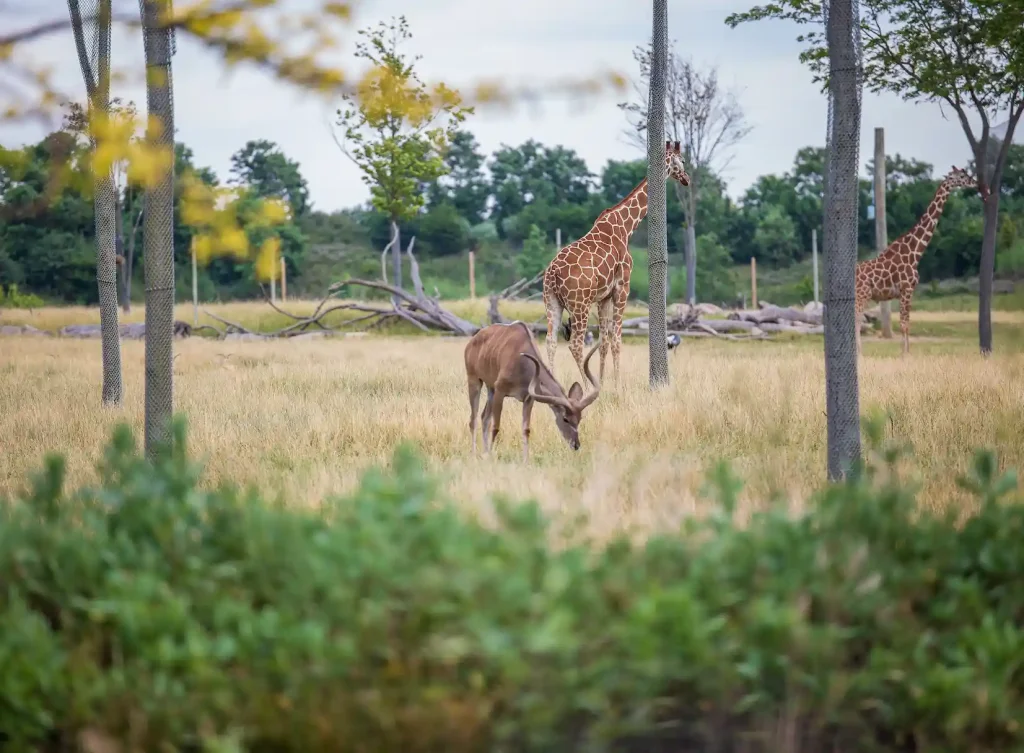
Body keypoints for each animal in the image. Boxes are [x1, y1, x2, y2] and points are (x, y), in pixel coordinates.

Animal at [464, 321, 598, 463]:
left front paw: (525, 461)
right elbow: (496, 427)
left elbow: (526, 429)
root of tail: (472, 341)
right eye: (565, 419)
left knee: (484, 417)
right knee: (473, 420)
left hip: (490, 389)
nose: (576, 445)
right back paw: (474, 454)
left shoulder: (528, 398)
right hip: (474, 380)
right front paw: (491, 457)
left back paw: (484, 452)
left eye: (580, 418)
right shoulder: (500, 389)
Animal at [540, 141, 692, 385]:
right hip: (579, 304)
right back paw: (585, 385)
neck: (625, 226)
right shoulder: (622, 287)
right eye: (683, 160)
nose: (687, 179)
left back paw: (553, 384)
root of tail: (552, 273)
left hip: (551, 301)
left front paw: (603, 382)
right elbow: (617, 339)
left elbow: (603, 341)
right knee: (575, 344)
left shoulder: (603, 297)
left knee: (551, 341)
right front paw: (617, 384)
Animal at [851, 163, 978, 356]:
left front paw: (905, 353)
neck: (915, 252)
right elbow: (905, 324)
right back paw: (860, 354)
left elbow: (906, 322)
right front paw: (905, 355)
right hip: (862, 294)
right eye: (962, 176)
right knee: (857, 320)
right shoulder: (907, 289)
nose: (975, 182)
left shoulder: (905, 292)